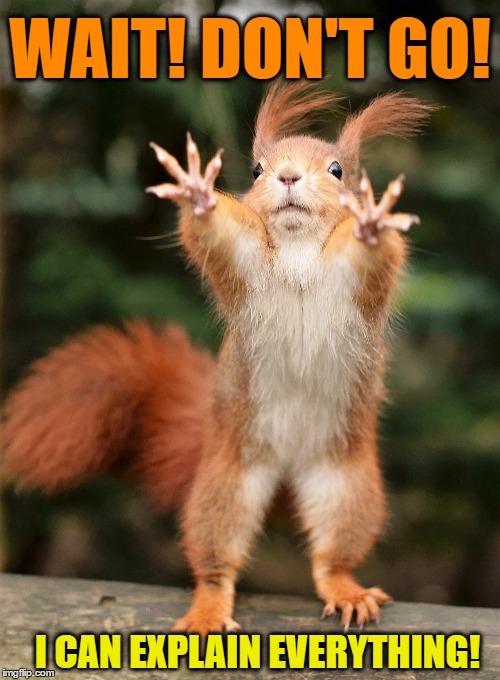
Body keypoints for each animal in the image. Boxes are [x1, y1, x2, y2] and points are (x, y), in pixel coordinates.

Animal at [2, 81, 434, 634]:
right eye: (256, 170)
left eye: (338, 170)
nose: (287, 175)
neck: (297, 247)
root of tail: (288, 468)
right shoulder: (246, 263)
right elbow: (221, 236)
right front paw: (198, 196)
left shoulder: (356, 283)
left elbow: (375, 256)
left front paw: (373, 224)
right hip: (225, 484)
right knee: (215, 559)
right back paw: (209, 607)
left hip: (347, 486)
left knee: (332, 556)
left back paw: (346, 588)